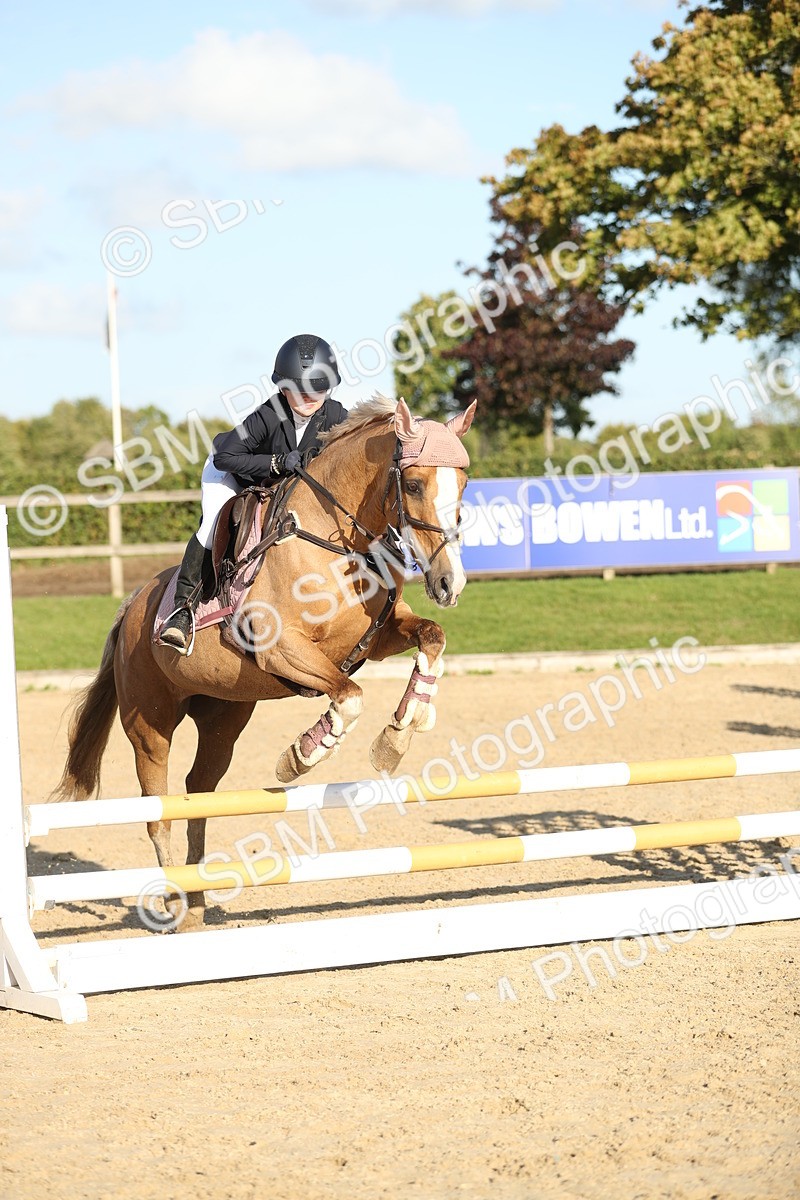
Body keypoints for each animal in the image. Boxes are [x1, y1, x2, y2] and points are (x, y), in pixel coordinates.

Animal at [55, 395, 476, 928]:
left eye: (464, 483)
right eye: (415, 483)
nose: (450, 583)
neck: (336, 542)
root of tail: (131, 607)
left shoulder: (376, 636)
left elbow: (431, 639)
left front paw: (398, 735)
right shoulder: (284, 647)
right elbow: (349, 696)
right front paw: (301, 755)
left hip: (223, 720)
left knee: (198, 794)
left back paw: (197, 902)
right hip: (149, 726)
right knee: (159, 812)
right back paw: (174, 904)